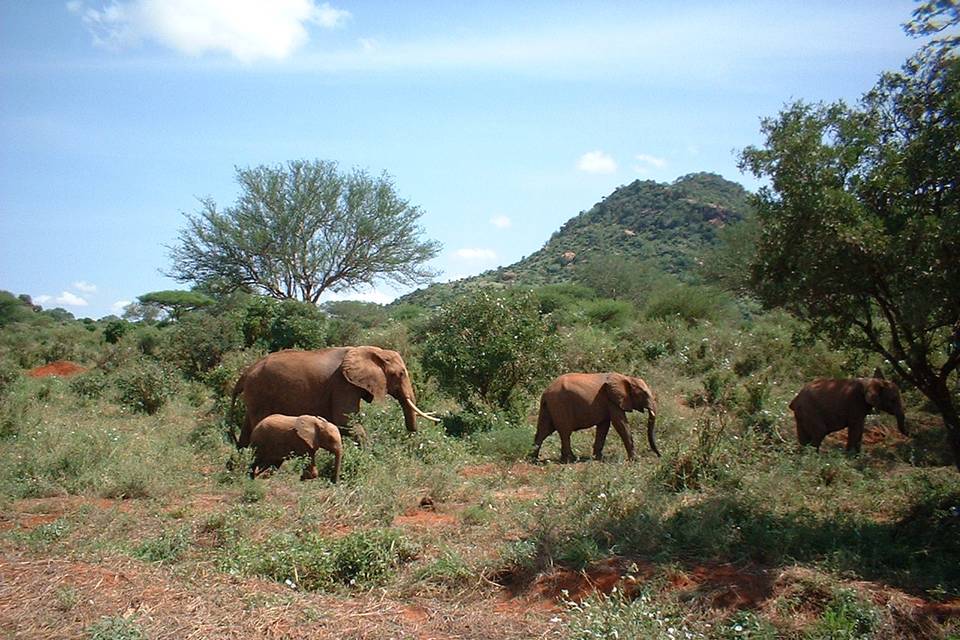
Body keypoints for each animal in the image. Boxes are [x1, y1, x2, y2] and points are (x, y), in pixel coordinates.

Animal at [234, 348, 436, 448]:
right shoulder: (342, 383)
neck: (374, 350)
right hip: (260, 392)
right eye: (400, 374)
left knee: (247, 426)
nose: (411, 440)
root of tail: (245, 373)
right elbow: (345, 422)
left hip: (255, 395)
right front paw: (372, 454)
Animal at [532, 372, 660, 462]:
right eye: (644, 393)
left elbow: (604, 426)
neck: (627, 378)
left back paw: (533, 458)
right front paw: (635, 460)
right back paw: (571, 459)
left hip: (549, 407)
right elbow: (620, 424)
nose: (660, 455)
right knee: (565, 432)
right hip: (560, 405)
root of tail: (545, 392)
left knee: (543, 430)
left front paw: (598, 458)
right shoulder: (612, 400)